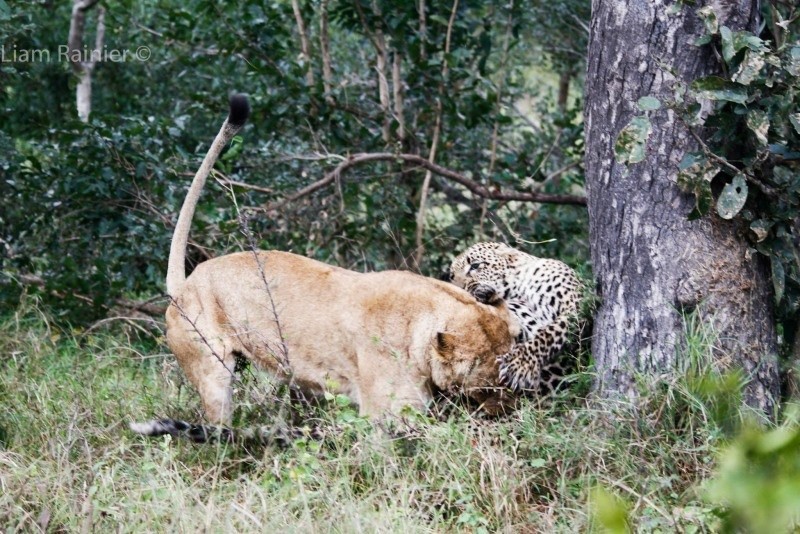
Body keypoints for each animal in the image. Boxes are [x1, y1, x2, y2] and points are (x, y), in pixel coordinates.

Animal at [444, 243, 580, 394]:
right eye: (452, 276)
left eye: (475, 265)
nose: (457, 290)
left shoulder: (573, 306)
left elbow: (549, 333)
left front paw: (518, 365)